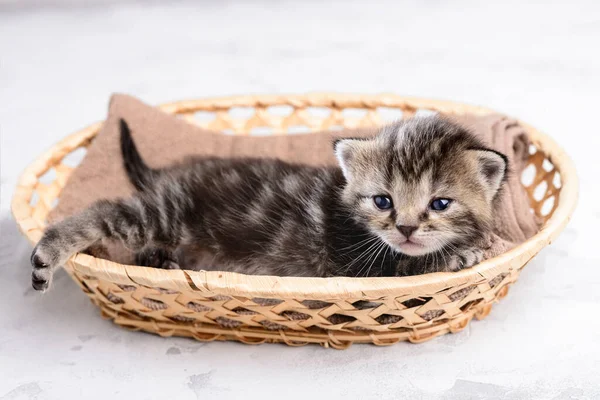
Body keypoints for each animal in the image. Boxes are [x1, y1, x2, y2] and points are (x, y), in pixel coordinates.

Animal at [28, 115, 506, 290]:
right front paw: (457, 255)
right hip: (164, 212)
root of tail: (172, 177)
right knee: (104, 212)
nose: (405, 228)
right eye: (382, 201)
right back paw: (49, 254)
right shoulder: (354, 265)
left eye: (440, 203)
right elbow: (405, 266)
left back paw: (161, 261)